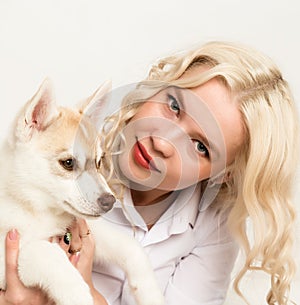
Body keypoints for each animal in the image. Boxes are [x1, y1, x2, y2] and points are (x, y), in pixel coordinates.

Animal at [0, 79, 164, 304]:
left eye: (98, 162)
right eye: (68, 163)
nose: (109, 202)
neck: (38, 210)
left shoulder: (90, 228)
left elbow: (131, 247)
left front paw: (151, 293)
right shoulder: (6, 262)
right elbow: (45, 252)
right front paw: (79, 295)